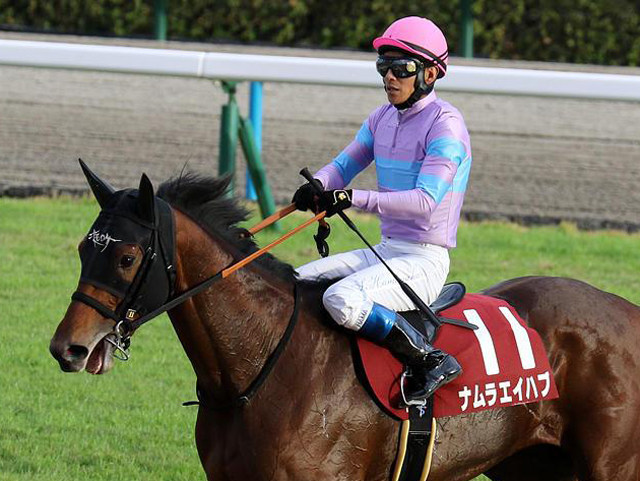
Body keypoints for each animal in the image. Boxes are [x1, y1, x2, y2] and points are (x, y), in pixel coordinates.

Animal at [50, 164, 640, 481]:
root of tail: (625, 308)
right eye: (84, 247)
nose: (68, 348)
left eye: (127, 257)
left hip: (611, 465)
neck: (258, 367)